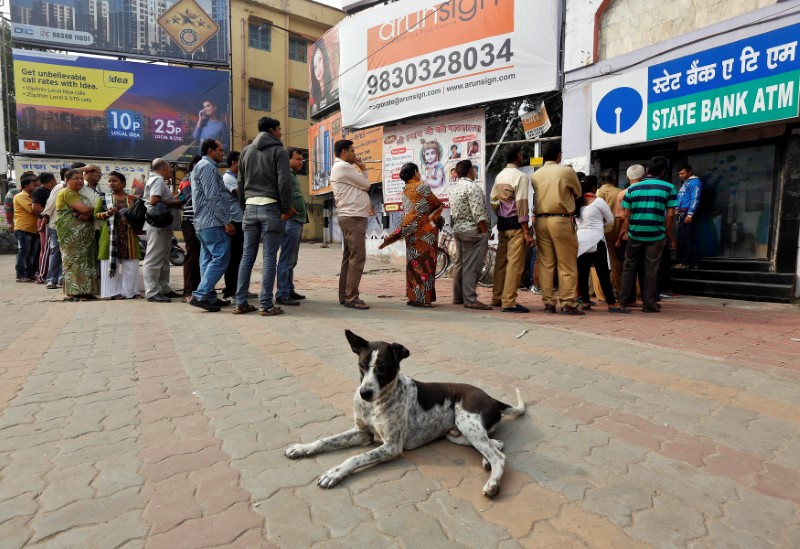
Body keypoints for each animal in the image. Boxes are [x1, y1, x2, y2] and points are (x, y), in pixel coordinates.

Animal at [284, 330, 528, 496]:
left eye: (383, 368)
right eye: (362, 365)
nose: (364, 393)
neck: (376, 403)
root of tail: (492, 398)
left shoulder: (392, 446)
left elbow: (355, 457)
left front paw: (334, 473)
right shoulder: (363, 433)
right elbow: (325, 440)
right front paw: (302, 448)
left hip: (468, 424)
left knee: (499, 455)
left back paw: (493, 482)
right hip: (457, 433)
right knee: (497, 444)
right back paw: (486, 461)